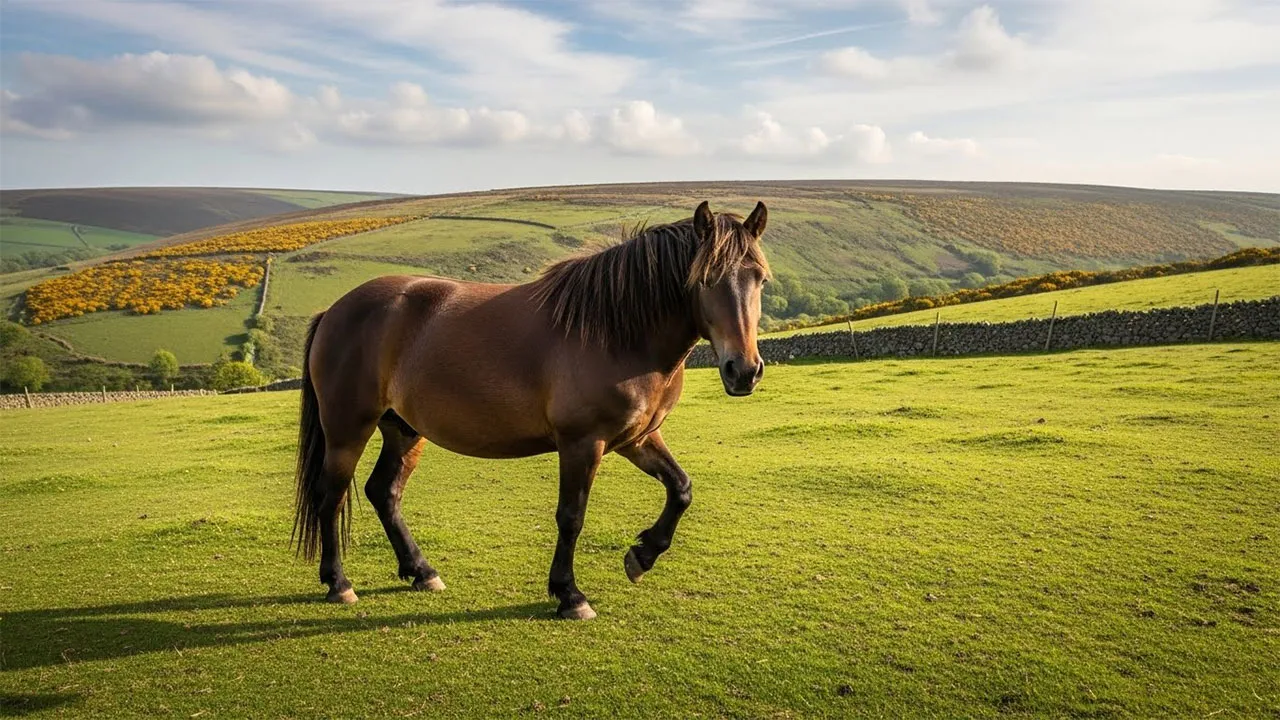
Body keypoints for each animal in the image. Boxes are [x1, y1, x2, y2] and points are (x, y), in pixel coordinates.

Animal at [292, 200, 770, 619]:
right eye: (705, 278)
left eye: (760, 279)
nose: (743, 370)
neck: (617, 332)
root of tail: (334, 310)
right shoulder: (582, 443)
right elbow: (571, 517)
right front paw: (570, 595)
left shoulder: (636, 438)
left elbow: (681, 488)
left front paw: (642, 555)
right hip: (347, 429)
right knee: (331, 496)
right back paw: (339, 583)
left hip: (403, 429)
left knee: (384, 492)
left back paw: (421, 571)